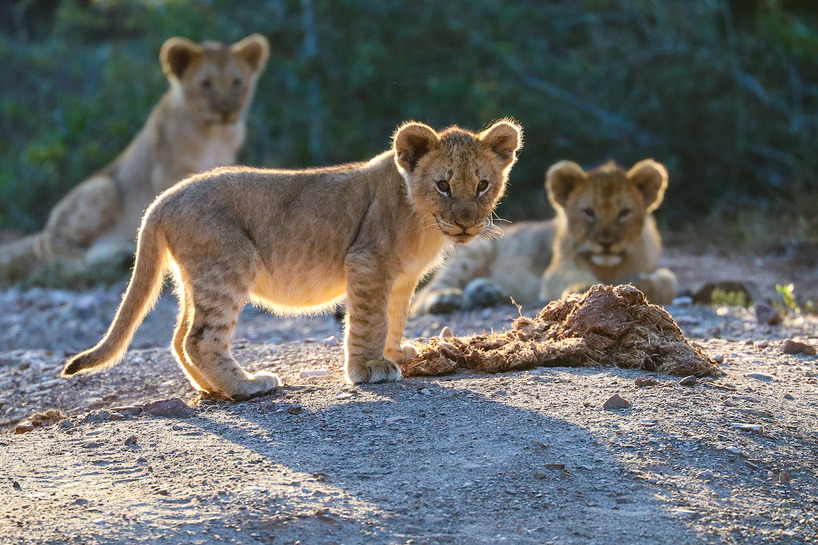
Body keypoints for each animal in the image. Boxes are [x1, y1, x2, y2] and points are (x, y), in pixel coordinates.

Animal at [0, 34, 270, 282]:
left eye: (236, 82)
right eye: (206, 83)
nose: (227, 111)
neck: (215, 134)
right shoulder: (169, 172)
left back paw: (117, 256)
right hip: (103, 187)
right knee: (47, 244)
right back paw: (88, 264)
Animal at [62, 120, 523, 400]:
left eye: (482, 185)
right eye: (443, 185)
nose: (465, 223)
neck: (423, 221)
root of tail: (162, 200)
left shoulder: (402, 277)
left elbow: (395, 315)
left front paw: (397, 353)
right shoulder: (367, 262)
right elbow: (370, 319)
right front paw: (369, 368)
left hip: (195, 278)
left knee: (179, 339)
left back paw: (213, 389)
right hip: (230, 266)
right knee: (199, 339)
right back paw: (247, 386)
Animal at [411, 159, 677, 314]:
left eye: (624, 213)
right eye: (589, 212)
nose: (606, 243)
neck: (608, 267)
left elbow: (669, 281)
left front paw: (643, 285)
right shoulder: (556, 271)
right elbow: (574, 278)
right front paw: (583, 288)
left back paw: (486, 293)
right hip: (477, 251)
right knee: (423, 296)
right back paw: (446, 300)